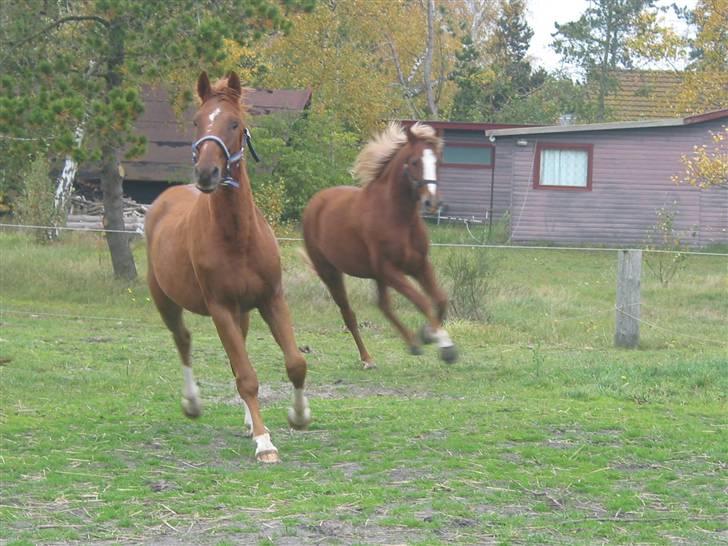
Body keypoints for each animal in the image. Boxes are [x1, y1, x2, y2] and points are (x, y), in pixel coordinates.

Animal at [144, 72, 310, 462]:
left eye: (235, 123)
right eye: (196, 121)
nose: (207, 173)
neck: (238, 237)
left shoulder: (271, 299)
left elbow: (295, 362)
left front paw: (298, 416)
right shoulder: (219, 308)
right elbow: (246, 376)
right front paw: (265, 443)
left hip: (242, 313)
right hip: (166, 301)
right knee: (183, 341)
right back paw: (193, 403)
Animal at [304, 122, 458, 370]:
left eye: (437, 161)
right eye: (414, 161)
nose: (432, 203)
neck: (399, 218)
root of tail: (316, 201)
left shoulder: (418, 266)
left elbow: (440, 300)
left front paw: (427, 334)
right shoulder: (390, 270)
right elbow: (423, 302)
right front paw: (446, 347)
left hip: (376, 276)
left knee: (383, 305)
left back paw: (412, 343)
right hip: (330, 272)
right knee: (349, 314)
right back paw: (367, 359)